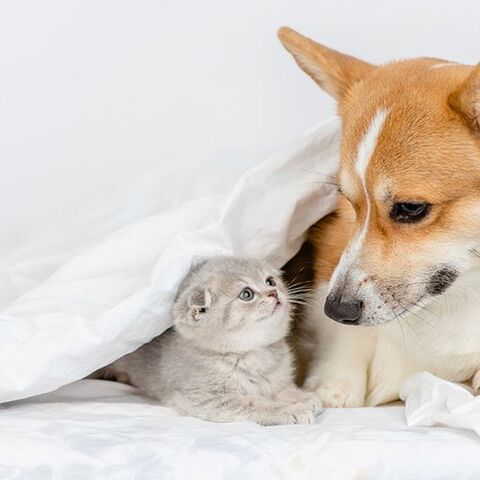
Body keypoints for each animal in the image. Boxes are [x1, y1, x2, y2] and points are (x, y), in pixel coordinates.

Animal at [110, 256, 320, 426]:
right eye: (246, 294)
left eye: (270, 281)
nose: (274, 292)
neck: (254, 354)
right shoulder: (206, 399)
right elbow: (255, 404)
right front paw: (291, 410)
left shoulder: (276, 380)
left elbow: (280, 390)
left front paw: (303, 397)